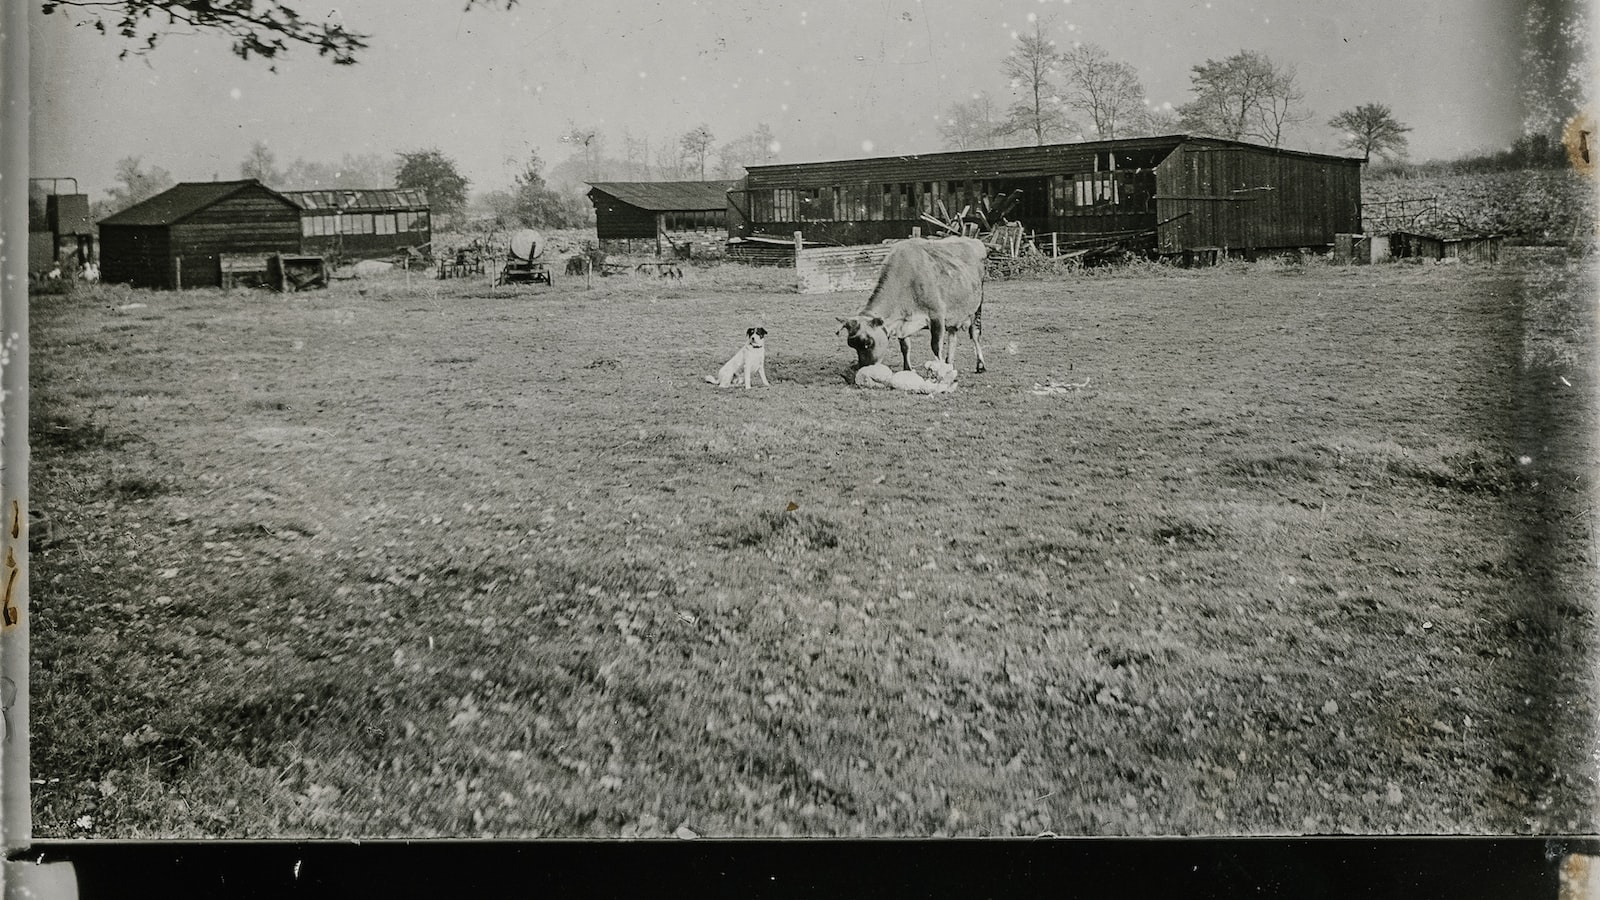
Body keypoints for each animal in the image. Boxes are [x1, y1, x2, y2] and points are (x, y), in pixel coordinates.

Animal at [838, 235, 985, 371]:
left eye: (868, 343)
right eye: (852, 345)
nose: (863, 369)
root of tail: (974, 240)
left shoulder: (937, 315)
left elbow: (936, 347)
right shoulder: (903, 321)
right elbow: (905, 347)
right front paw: (908, 369)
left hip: (977, 305)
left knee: (975, 333)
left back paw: (980, 364)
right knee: (953, 335)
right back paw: (950, 364)